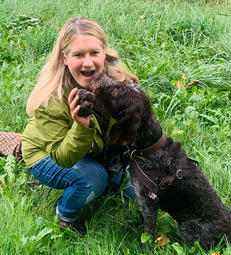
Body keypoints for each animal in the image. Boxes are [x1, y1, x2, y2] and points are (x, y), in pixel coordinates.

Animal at [77, 74, 231, 248]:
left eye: (117, 91)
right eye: (123, 84)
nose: (99, 75)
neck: (149, 147)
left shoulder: (149, 202)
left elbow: (149, 230)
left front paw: (144, 247)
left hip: (187, 229)